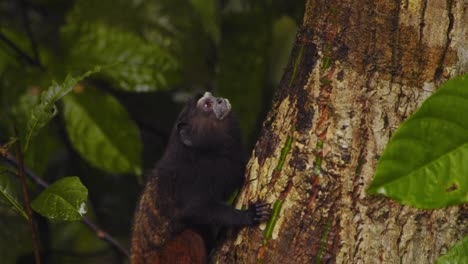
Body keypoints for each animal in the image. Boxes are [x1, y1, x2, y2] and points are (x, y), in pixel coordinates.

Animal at [131, 92, 270, 262]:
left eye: (212, 97)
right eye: (207, 105)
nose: (220, 100)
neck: (201, 153)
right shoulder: (192, 176)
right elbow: (194, 209)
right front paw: (249, 216)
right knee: (191, 237)